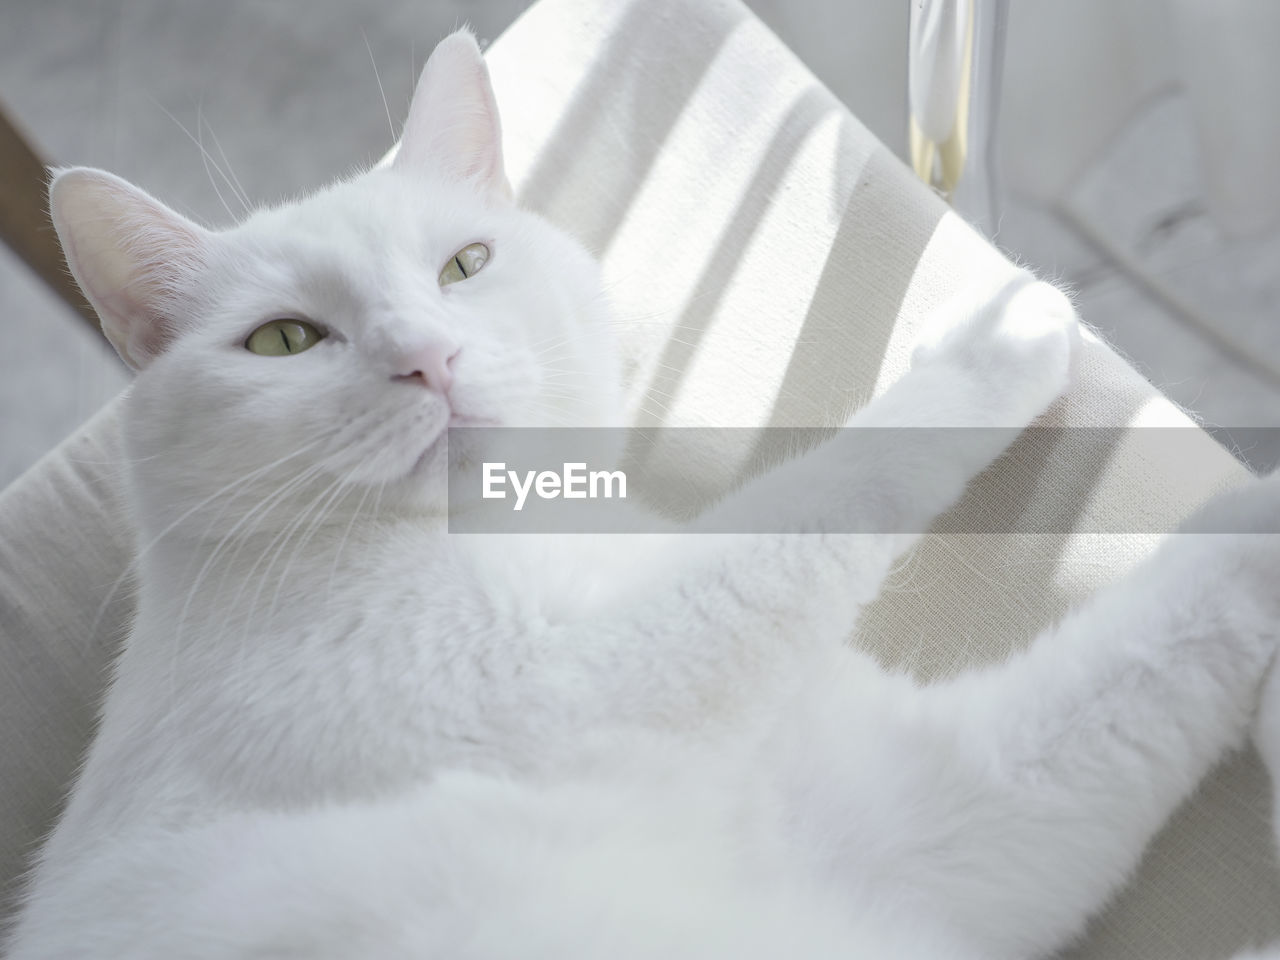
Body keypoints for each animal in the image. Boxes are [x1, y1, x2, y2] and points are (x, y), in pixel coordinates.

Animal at [5, 30, 1274, 960]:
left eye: (464, 265)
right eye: (283, 340)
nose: (426, 357)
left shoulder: (942, 820)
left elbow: (1149, 649)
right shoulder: (578, 676)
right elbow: (811, 501)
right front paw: (993, 338)